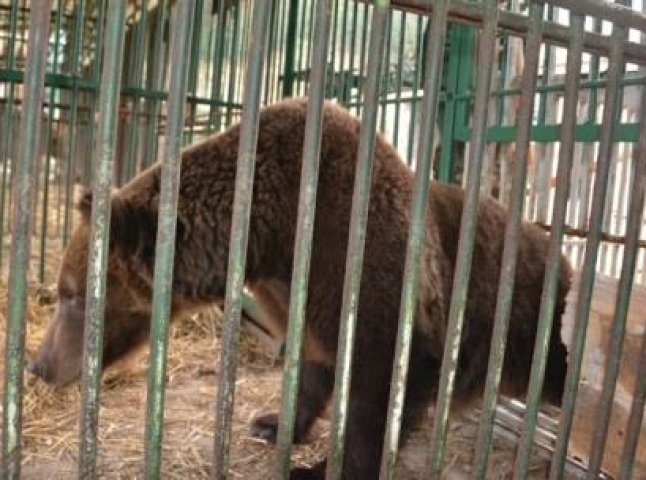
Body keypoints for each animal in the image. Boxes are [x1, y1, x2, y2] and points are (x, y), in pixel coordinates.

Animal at [29, 97, 572, 476]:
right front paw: (274, 423)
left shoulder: (373, 269)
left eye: (71, 293)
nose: (38, 363)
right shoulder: (297, 293)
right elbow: (312, 363)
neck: (271, 232)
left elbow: (378, 394)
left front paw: (322, 468)